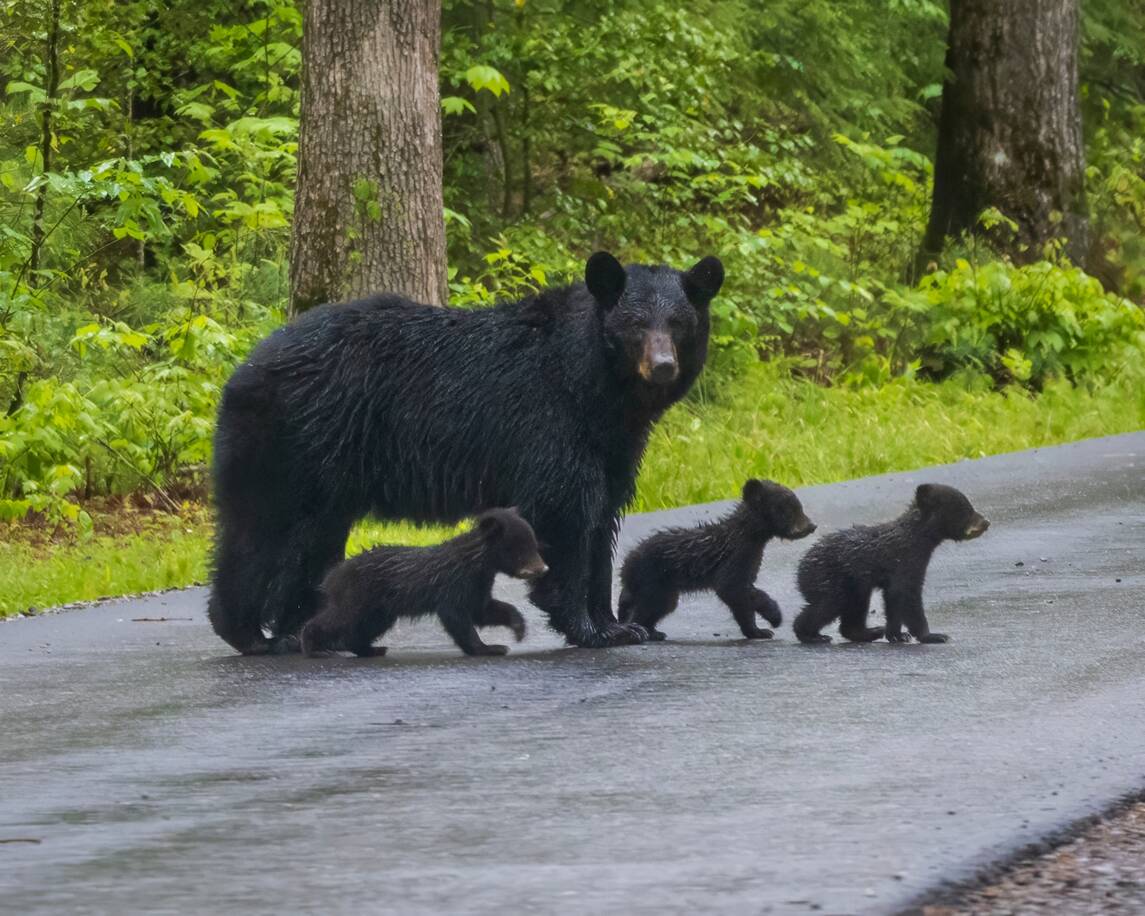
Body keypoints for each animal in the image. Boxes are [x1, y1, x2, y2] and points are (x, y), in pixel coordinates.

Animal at [299, 508, 549, 659]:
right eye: (521, 549)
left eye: (534, 544)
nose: (542, 569)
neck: (475, 562)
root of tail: (332, 576)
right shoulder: (453, 583)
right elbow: (456, 617)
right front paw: (488, 647)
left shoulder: (478, 584)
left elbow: (483, 610)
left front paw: (518, 629)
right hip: (358, 596)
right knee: (339, 618)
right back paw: (313, 646)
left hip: (380, 608)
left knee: (364, 627)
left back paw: (372, 649)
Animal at [618, 483, 815, 641]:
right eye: (789, 509)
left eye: (798, 506)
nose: (812, 526)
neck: (749, 536)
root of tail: (626, 565)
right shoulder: (736, 557)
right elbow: (730, 587)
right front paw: (774, 616)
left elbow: (741, 599)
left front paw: (757, 631)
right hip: (653, 579)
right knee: (650, 605)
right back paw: (642, 631)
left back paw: (653, 631)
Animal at [792, 485, 989, 645]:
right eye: (966, 509)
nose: (986, 522)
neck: (917, 538)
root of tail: (800, 567)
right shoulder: (906, 560)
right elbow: (906, 594)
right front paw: (932, 635)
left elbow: (893, 599)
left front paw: (897, 635)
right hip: (827, 577)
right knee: (829, 603)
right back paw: (811, 635)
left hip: (854, 584)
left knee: (855, 606)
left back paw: (870, 632)